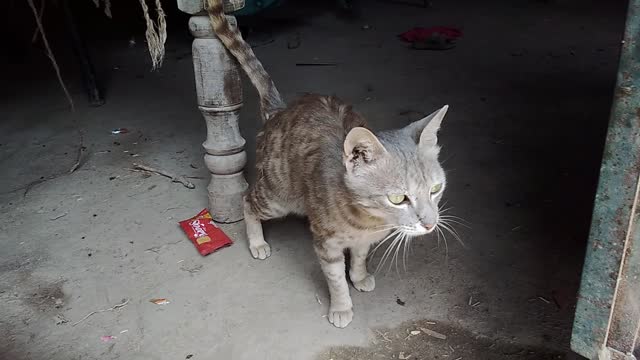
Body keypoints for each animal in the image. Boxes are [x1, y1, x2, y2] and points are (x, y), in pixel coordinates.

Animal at [208, 0, 448, 328]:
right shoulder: (327, 245)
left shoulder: (363, 241)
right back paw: (256, 241)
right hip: (278, 197)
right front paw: (341, 306)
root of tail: (280, 111)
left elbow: (358, 258)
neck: (368, 222)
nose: (430, 224)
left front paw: (359, 276)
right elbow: (335, 279)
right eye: (399, 198)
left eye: (436, 189)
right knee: (248, 200)